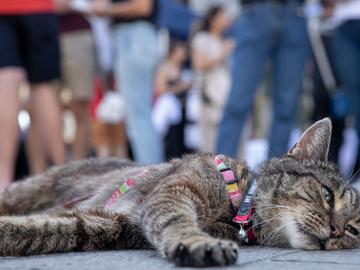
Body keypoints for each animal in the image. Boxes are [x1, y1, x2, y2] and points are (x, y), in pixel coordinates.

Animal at [0, 118, 358, 266]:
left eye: (354, 229)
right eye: (327, 194)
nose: (336, 230)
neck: (236, 209)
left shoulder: (107, 226)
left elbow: (45, 230)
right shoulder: (175, 192)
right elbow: (178, 220)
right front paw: (198, 243)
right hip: (29, 188)